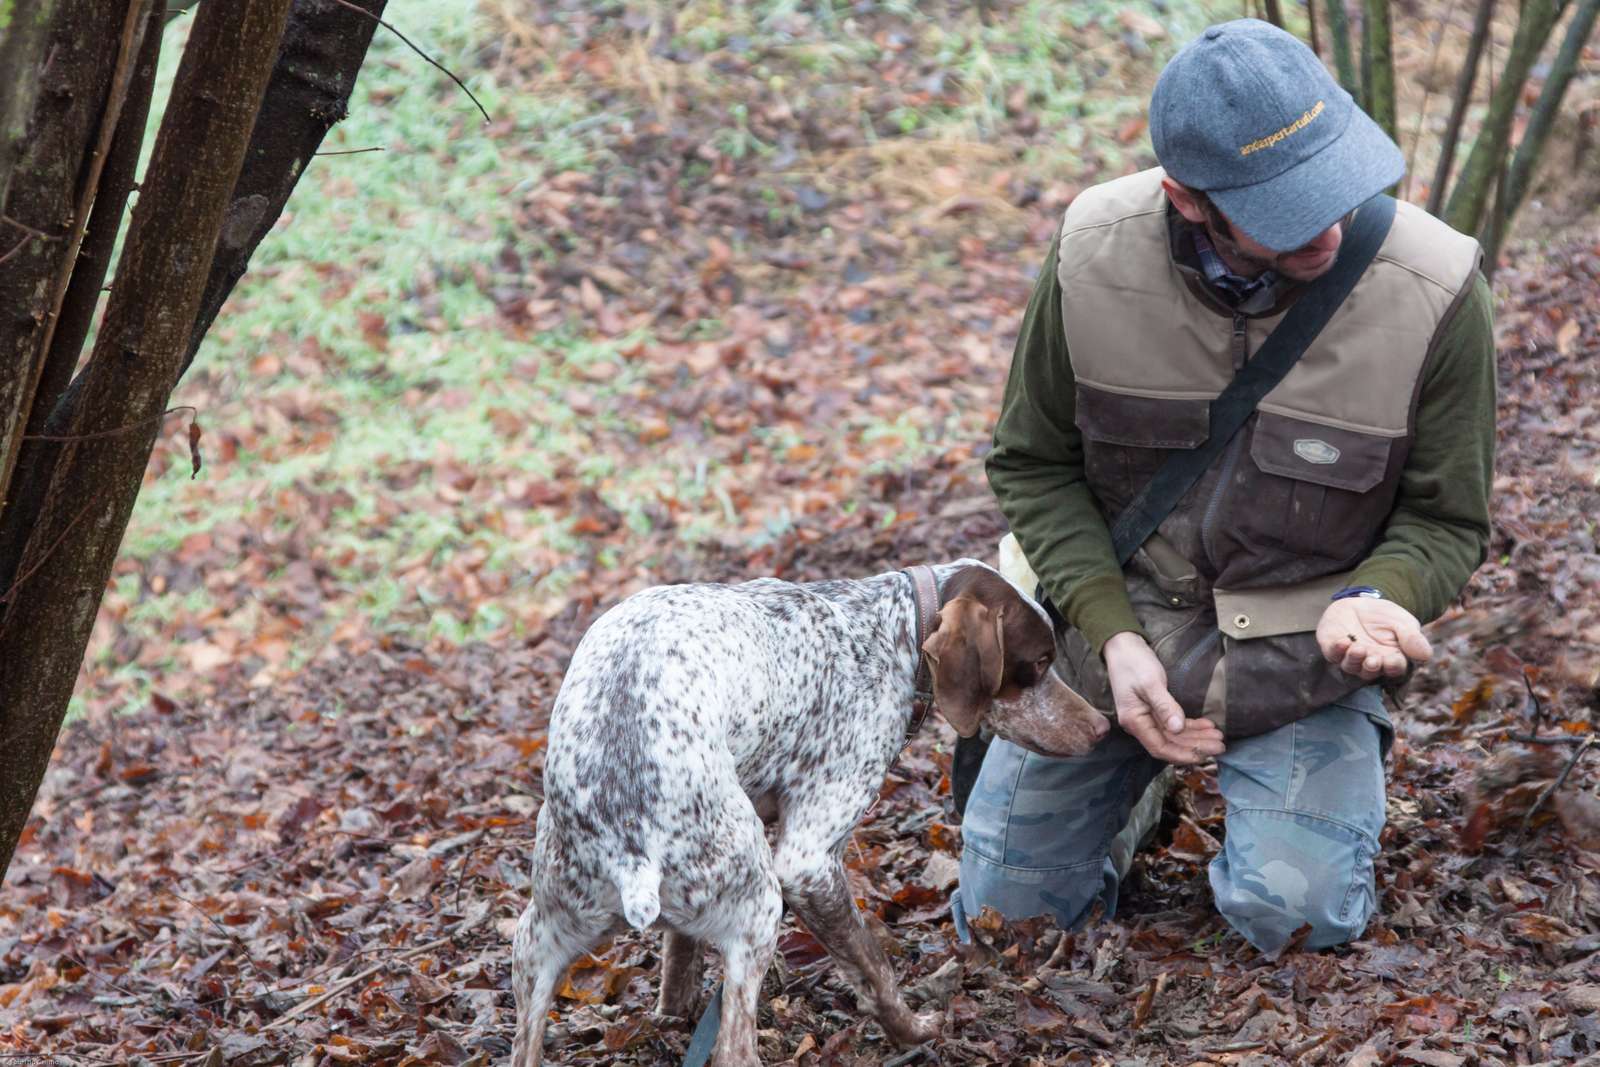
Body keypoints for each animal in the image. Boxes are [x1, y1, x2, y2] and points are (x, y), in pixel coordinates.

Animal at [512, 563, 1113, 1062]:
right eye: (1038, 663)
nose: (1102, 727)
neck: (887, 631)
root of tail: (630, 845)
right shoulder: (808, 864)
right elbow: (873, 968)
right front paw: (913, 1032)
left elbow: (680, 951)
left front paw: (673, 1010)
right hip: (760, 908)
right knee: (735, 1051)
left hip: (537, 945)